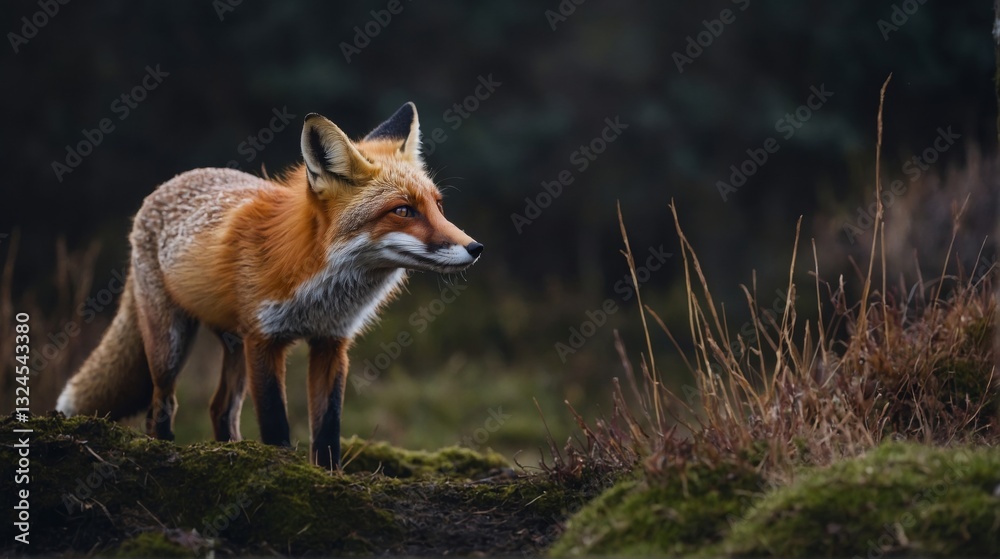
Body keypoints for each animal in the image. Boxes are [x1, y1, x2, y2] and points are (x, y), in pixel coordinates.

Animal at [56, 102, 483, 469]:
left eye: (438, 206)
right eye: (403, 211)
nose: (475, 248)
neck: (319, 289)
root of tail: (167, 185)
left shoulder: (331, 342)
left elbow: (328, 430)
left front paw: (327, 480)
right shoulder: (265, 340)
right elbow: (276, 424)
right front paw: (282, 472)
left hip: (234, 343)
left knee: (219, 408)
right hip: (172, 343)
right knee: (161, 405)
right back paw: (163, 450)